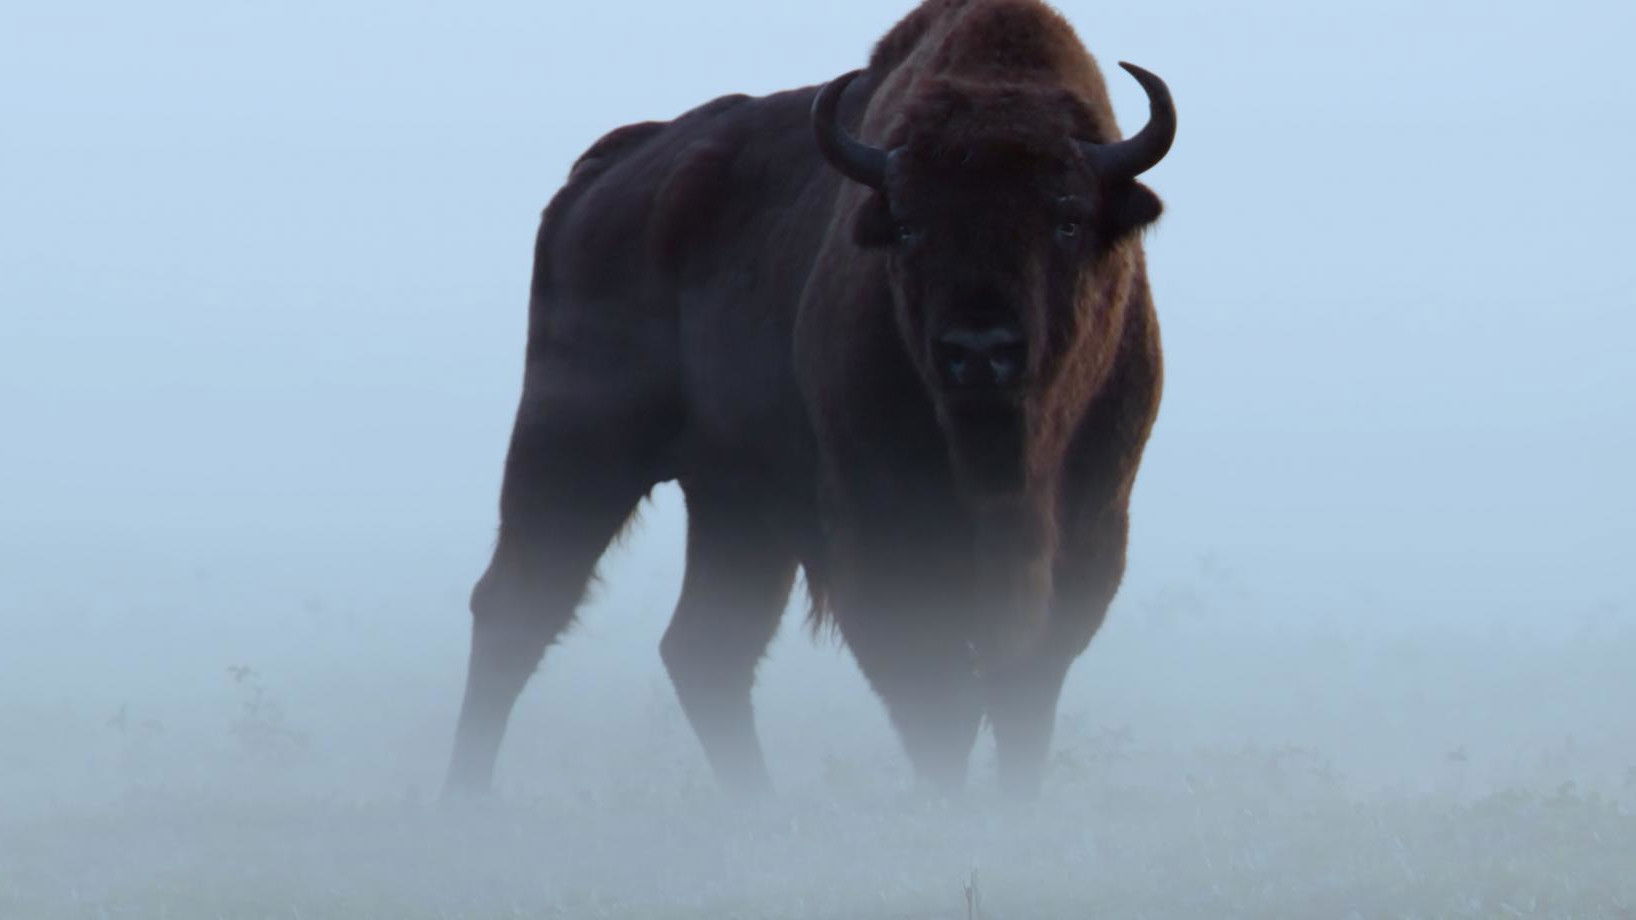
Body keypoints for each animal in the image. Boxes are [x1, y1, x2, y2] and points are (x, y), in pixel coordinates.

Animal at [446, 0, 1175, 799]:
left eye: (1067, 219)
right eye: (909, 226)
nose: (979, 350)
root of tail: (607, 173)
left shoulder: (1088, 533)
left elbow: (1023, 697)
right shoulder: (881, 533)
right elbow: (938, 695)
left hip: (735, 503)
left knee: (704, 647)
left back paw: (758, 807)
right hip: (574, 446)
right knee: (515, 606)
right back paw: (465, 799)